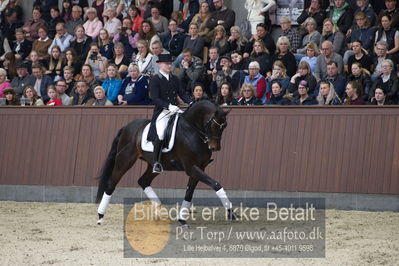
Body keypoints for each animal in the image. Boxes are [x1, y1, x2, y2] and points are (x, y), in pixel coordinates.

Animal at [95, 101, 236, 225]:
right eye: (212, 124)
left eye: (225, 126)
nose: (215, 148)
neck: (192, 130)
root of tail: (126, 127)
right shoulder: (191, 167)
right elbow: (216, 184)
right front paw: (230, 213)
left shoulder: (200, 168)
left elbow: (189, 193)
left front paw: (182, 219)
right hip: (124, 160)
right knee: (111, 185)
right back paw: (100, 217)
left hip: (154, 165)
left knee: (143, 181)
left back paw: (160, 211)